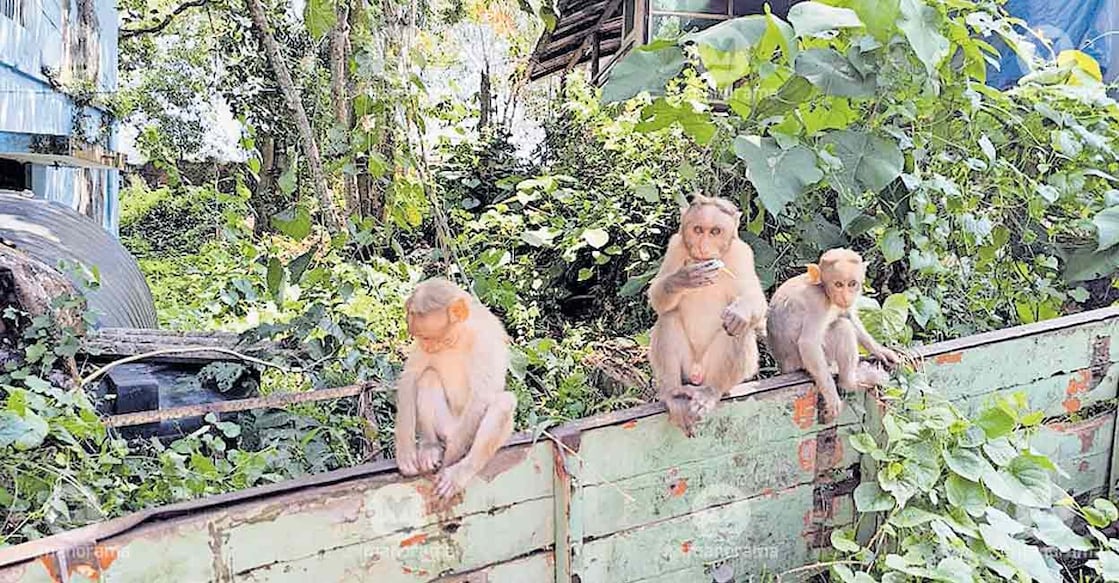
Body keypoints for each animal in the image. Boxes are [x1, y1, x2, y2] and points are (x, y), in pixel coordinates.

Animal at [393, 278, 517, 501]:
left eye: (429, 338)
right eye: (421, 338)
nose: (427, 347)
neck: (458, 336)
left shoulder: (484, 342)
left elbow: (481, 397)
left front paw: (448, 466)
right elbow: (410, 378)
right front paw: (405, 453)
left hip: (472, 433)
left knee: (503, 403)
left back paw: (462, 469)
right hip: (446, 425)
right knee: (428, 377)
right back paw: (430, 446)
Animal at [647, 195, 768, 437]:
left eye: (715, 231)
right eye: (698, 230)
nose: (703, 245)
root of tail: (696, 375)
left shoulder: (743, 254)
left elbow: (755, 301)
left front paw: (740, 312)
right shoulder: (675, 247)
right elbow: (657, 297)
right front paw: (682, 278)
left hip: (713, 370)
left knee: (739, 330)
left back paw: (710, 392)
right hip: (686, 369)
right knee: (668, 316)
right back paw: (673, 394)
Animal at [766, 248, 900, 422]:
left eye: (852, 283)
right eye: (838, 284)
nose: (846, 296)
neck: (824, 291)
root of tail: (784, 367)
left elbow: (848, 315)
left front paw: (881, 350)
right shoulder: (817, 304)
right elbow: (808, 343)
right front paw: (832, 399)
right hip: (804, 361)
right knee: (842, 328)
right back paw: (849, 381)